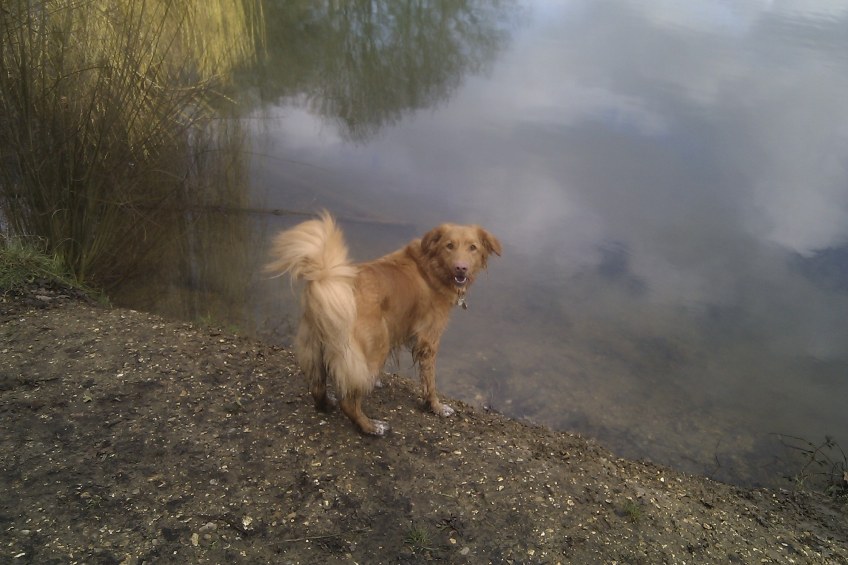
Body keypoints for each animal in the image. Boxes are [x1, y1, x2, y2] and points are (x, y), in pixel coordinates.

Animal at [264, 213, 500, 436]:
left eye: (473, 247)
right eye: (449, 246)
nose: (461, 268)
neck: (431, 267)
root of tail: (328, 281)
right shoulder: (428, 340)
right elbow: (430, 381)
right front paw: (436, 407)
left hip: (315, 347)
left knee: (317, 388)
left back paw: (328, 404)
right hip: (377, 343)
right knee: (348, 401)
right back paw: (370, 427)